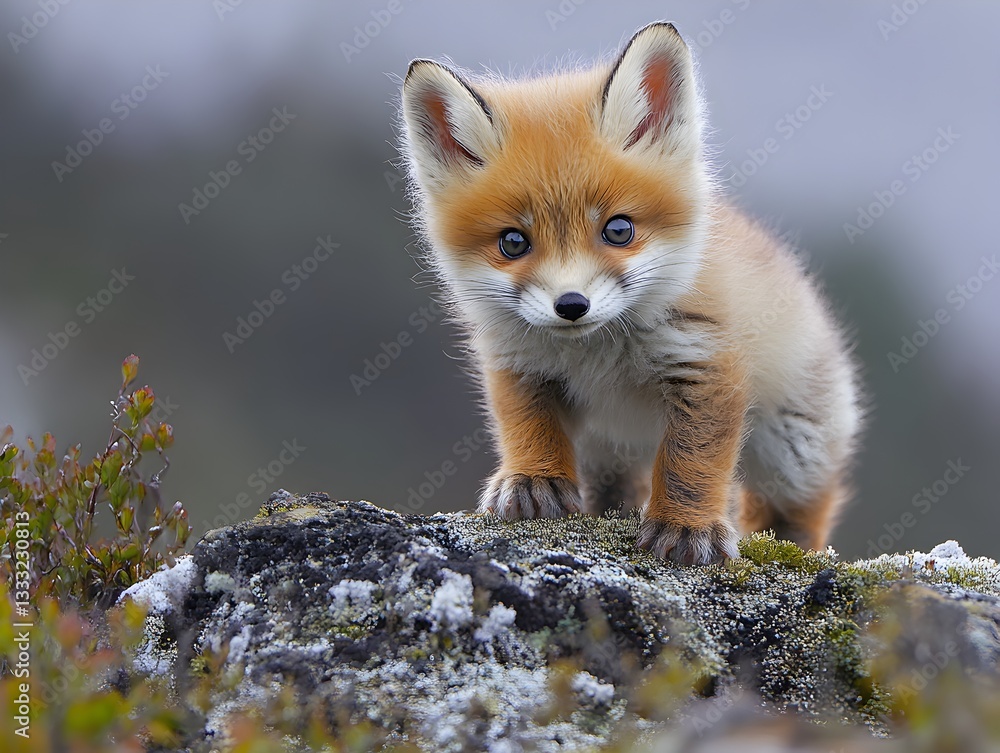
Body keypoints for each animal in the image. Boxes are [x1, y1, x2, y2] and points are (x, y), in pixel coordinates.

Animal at [399, 22, 861, 565]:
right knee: (617, 494)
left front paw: (686, 528)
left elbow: (691, 463)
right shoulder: (518, 362)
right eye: (513, 242)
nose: (571, 305)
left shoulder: (705, 365)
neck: (599, 356)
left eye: (619, 230)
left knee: (800, 510)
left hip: (795, 452)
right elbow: (526, 428)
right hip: (609, 450)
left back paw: (797, 548)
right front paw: (534, 480)